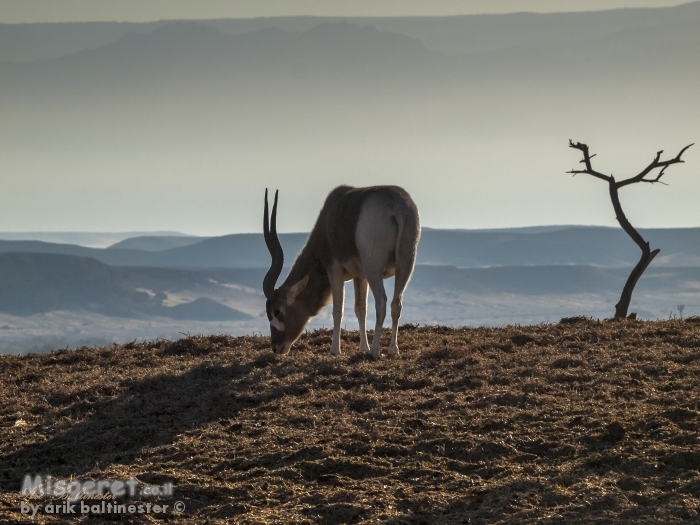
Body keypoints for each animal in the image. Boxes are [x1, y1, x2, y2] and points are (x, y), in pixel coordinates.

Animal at [262, 182, 416, 358]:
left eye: (277, 311)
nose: (276, 347)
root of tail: (397, 206)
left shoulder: (334, 269)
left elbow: (337, 310)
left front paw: (334, 351)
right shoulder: (360, 276)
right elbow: (360, 308)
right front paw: (363, 347)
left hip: (373, 269)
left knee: (381, 302)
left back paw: (375, 352)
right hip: (405, 265)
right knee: (396, 303)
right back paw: (392, 350)